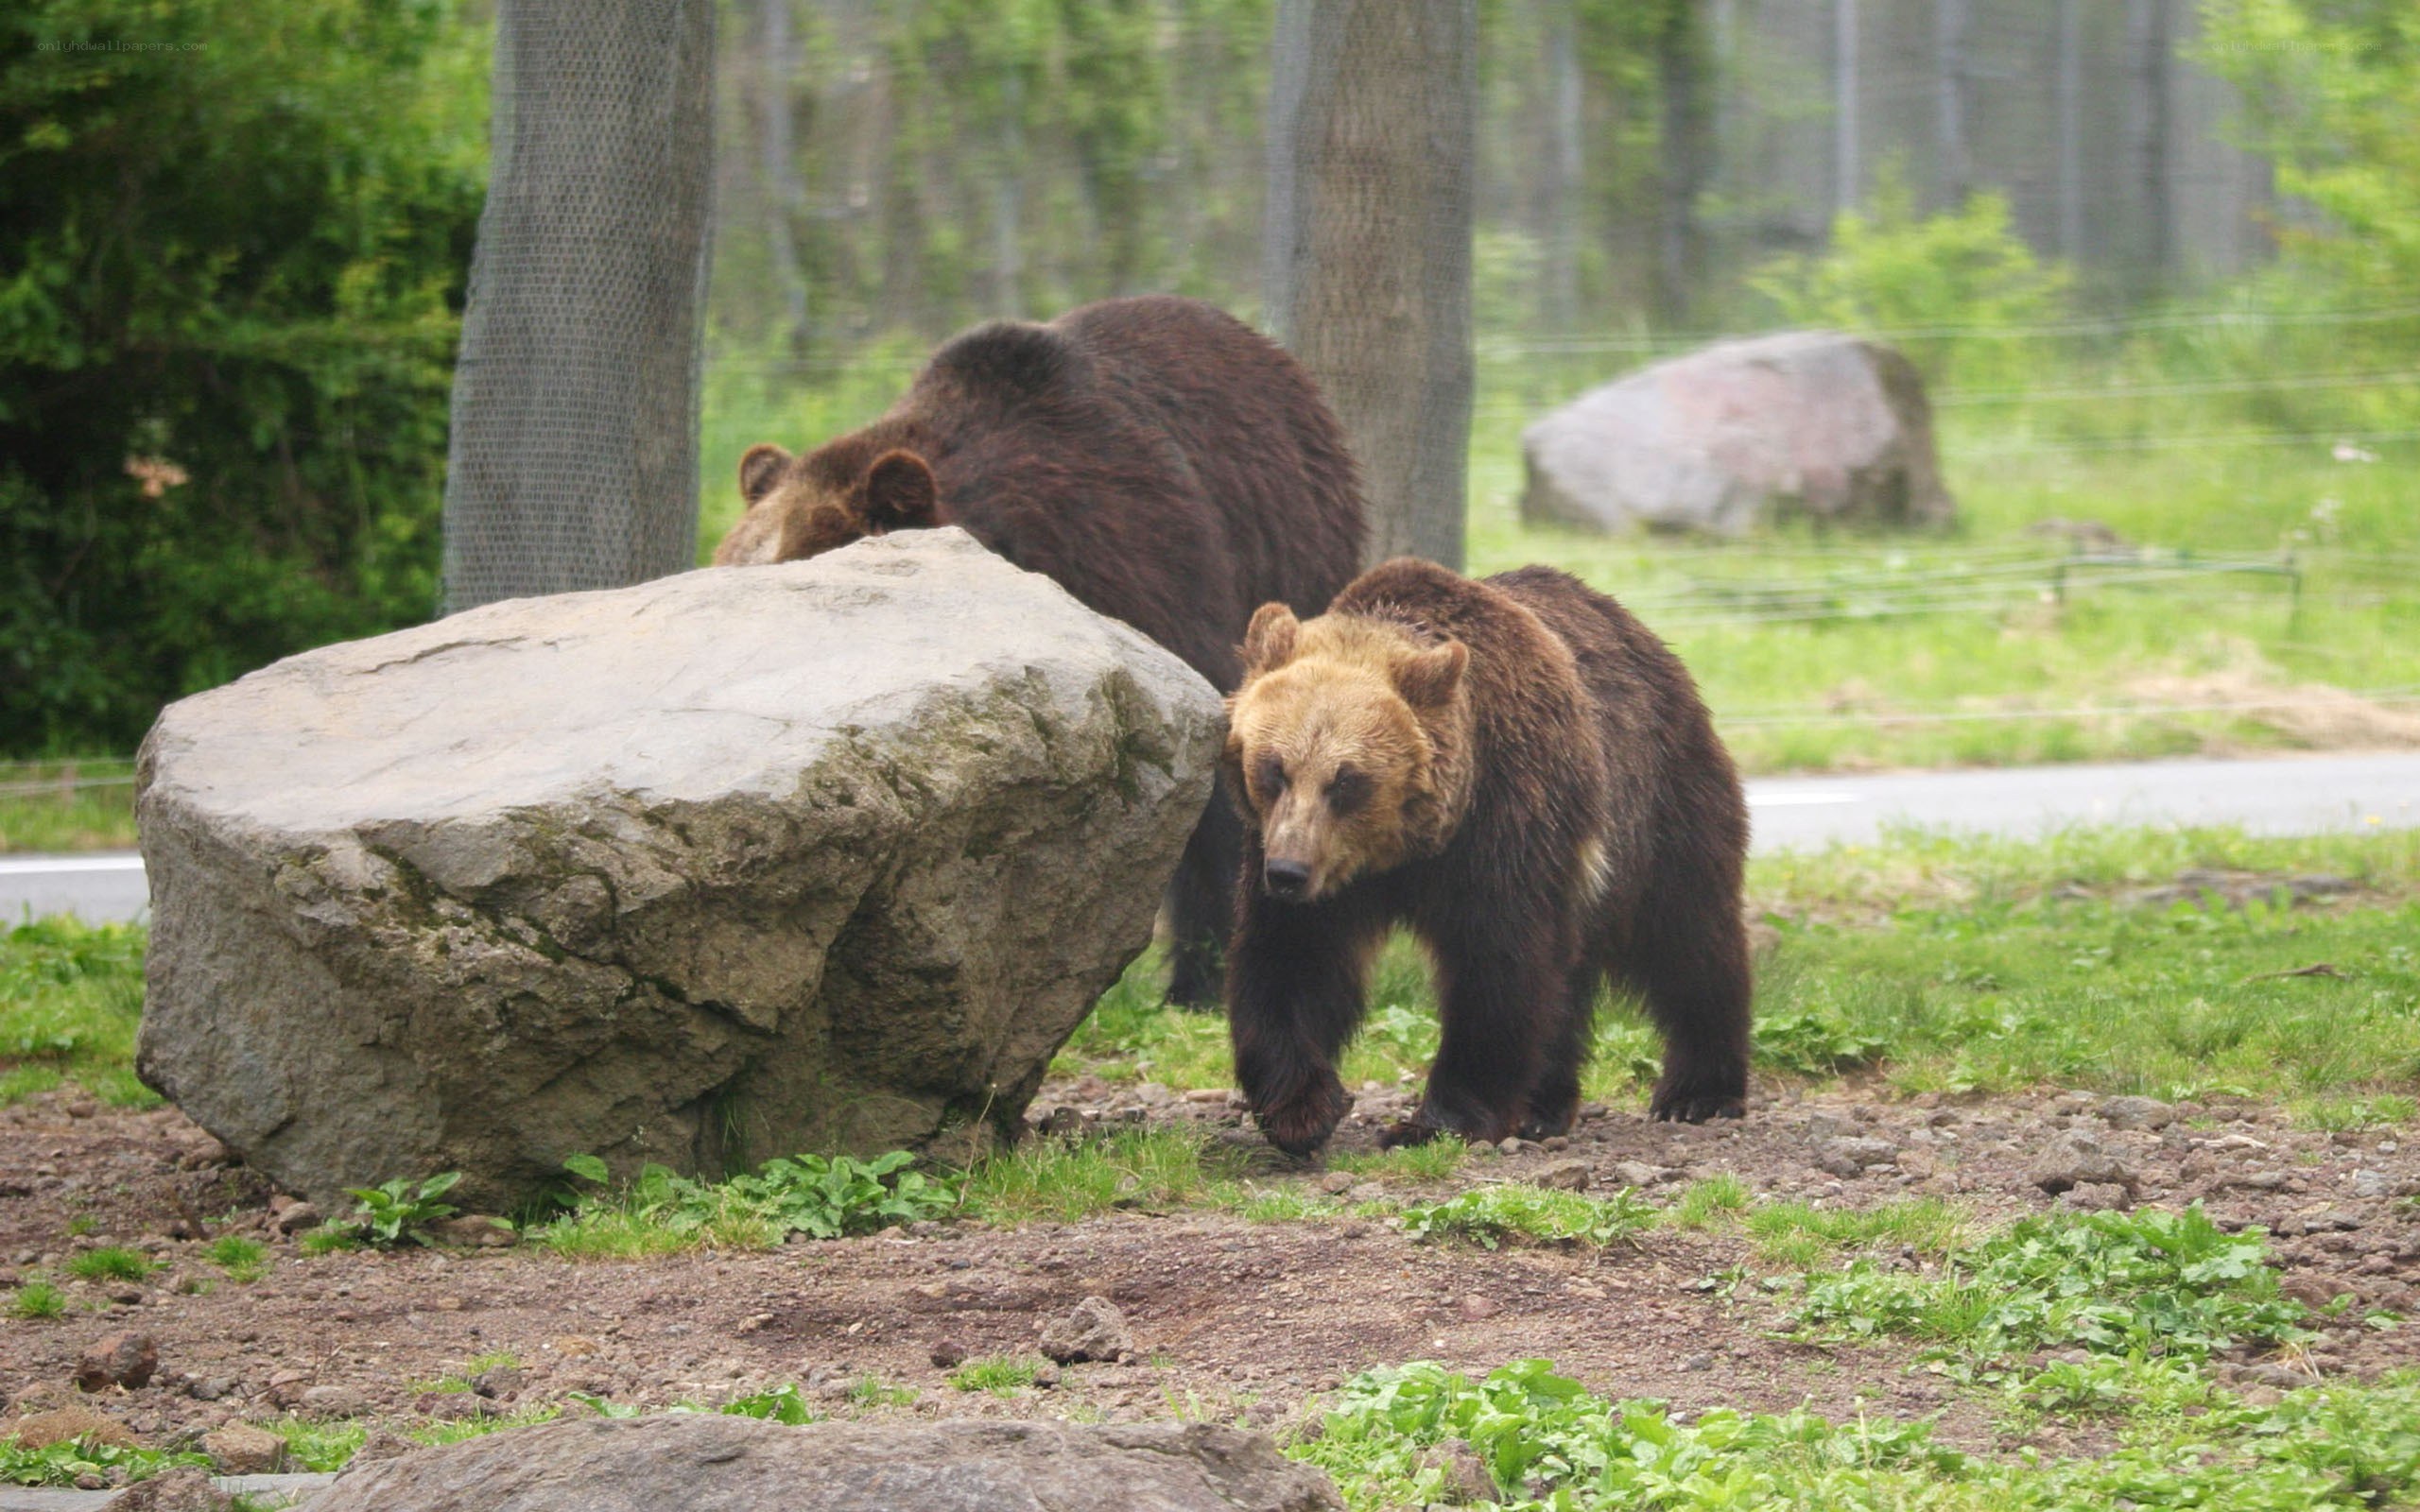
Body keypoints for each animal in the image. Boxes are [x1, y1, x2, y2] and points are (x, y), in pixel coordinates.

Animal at [1220, 557, 1751, 1156]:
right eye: (1273, 768)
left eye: (1347, 780)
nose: (1289, 873)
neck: (1408, 848)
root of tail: (1646, 638)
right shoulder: (1298, 859)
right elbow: (1291, 958)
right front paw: (1301, 1109)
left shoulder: (1505, 819)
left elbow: (1498, 964)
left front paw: (1433, 1122)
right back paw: (1544, 1105)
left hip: (1657, 806)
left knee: (1688, 939)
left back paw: (1698, 1091)